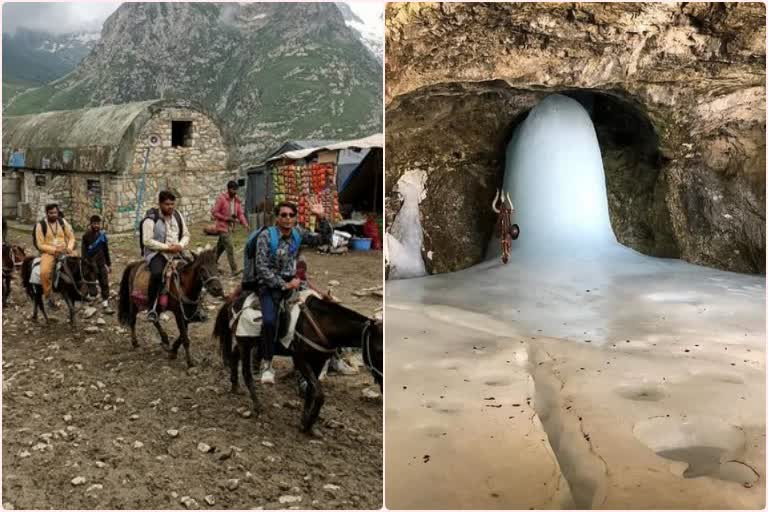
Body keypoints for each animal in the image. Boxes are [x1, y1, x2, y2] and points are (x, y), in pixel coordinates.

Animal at [213, 294, 384, 434]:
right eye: (379, 350)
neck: (323, 324)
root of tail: (233, 301)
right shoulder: (301, 360)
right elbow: (319, 394)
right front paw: (309, 423)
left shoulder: (319, 361)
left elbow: (310, 391)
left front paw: (305, 424)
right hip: (245, 342)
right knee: (246, 373)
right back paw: (257, 406)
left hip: (247, 342)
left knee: (234, 355)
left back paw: (235, 387)